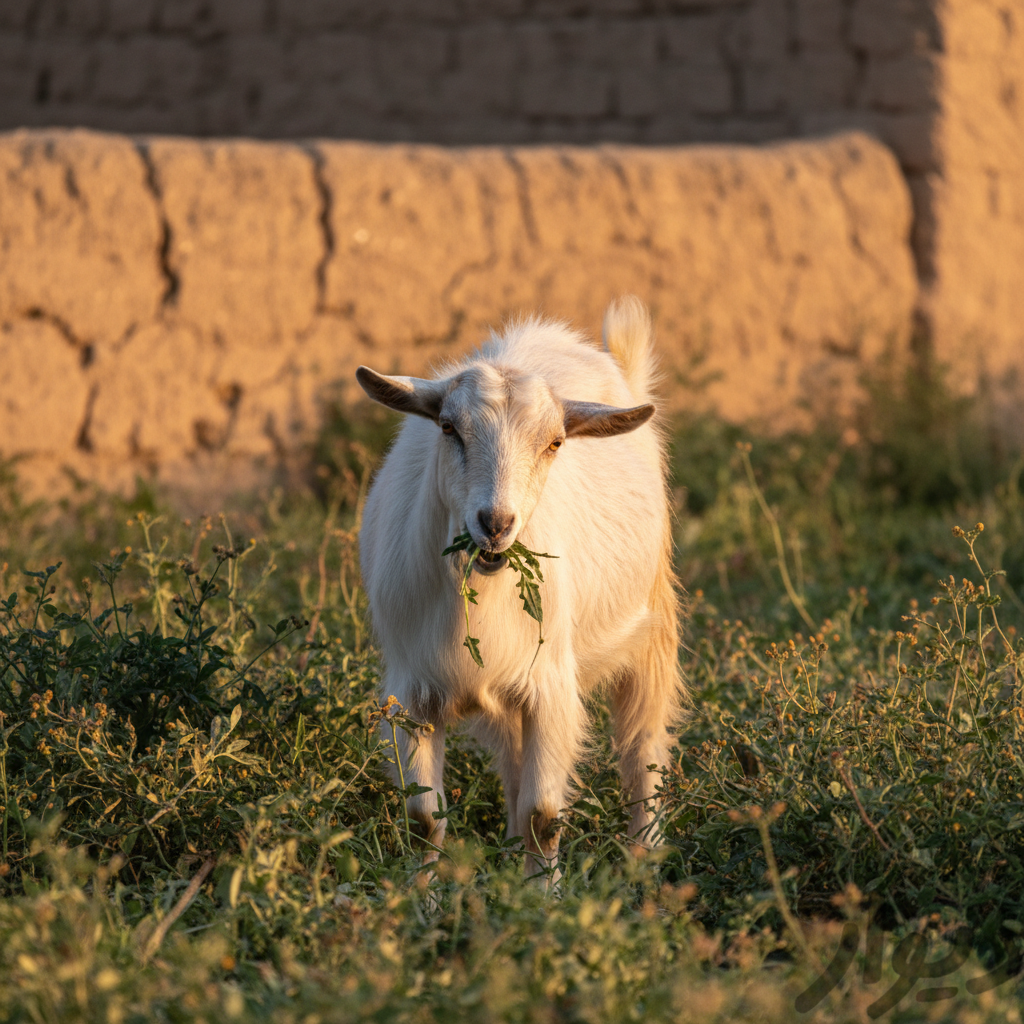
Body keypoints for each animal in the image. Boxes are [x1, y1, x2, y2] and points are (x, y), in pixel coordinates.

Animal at [356, 297, 682, 881]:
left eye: (554, 443)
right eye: (448, 428)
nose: (495, 523)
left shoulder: (551, 688)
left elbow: (543, 816)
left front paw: (541, 899)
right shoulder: (412, 694)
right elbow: (424, 822)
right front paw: (423, 900)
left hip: (653, 625)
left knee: (643, 747)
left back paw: (646, 863)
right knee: (511, 768)